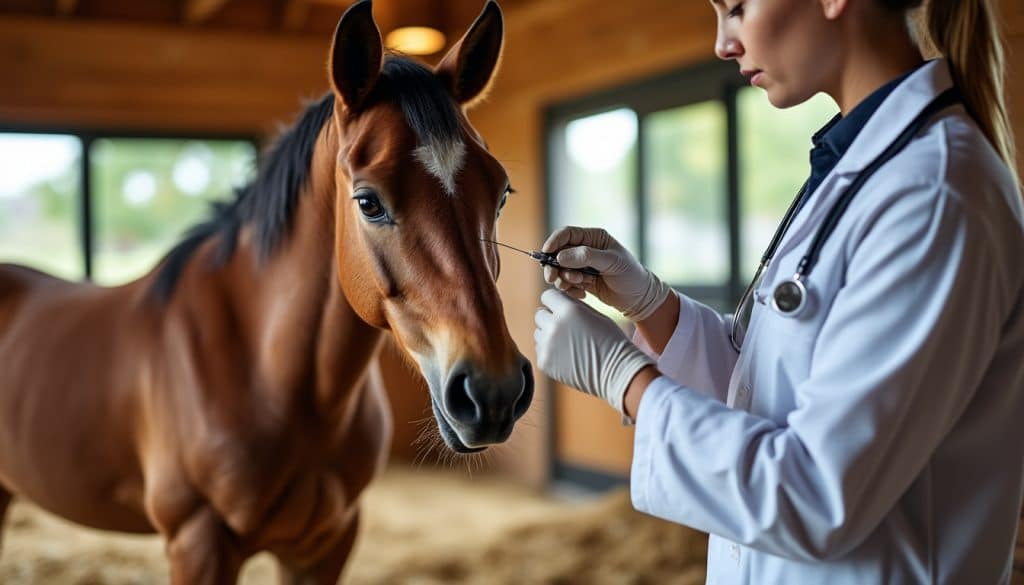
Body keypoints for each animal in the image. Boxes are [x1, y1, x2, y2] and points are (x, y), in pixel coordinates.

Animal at [0, 0, 532, 582]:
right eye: (368, 202)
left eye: (501, 194)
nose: (493, 392)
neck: (270, 372)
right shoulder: (198, 544)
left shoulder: (326, 544)